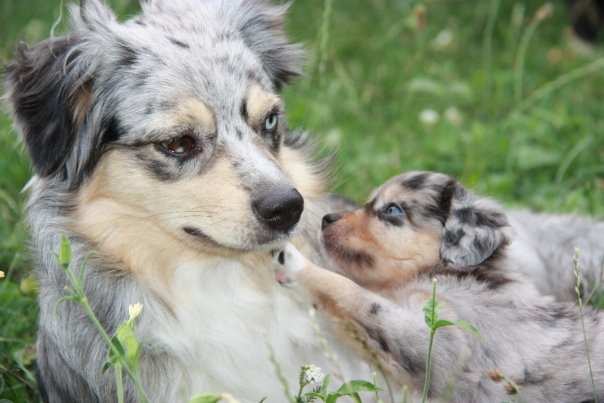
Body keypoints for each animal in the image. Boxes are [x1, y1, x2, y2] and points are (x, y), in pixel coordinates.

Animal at [274, 172, 604, 402]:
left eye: (392, 210)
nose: (326, 219)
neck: (452, 273)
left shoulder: (438, 342)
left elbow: (356, 295)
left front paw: (294, 261)